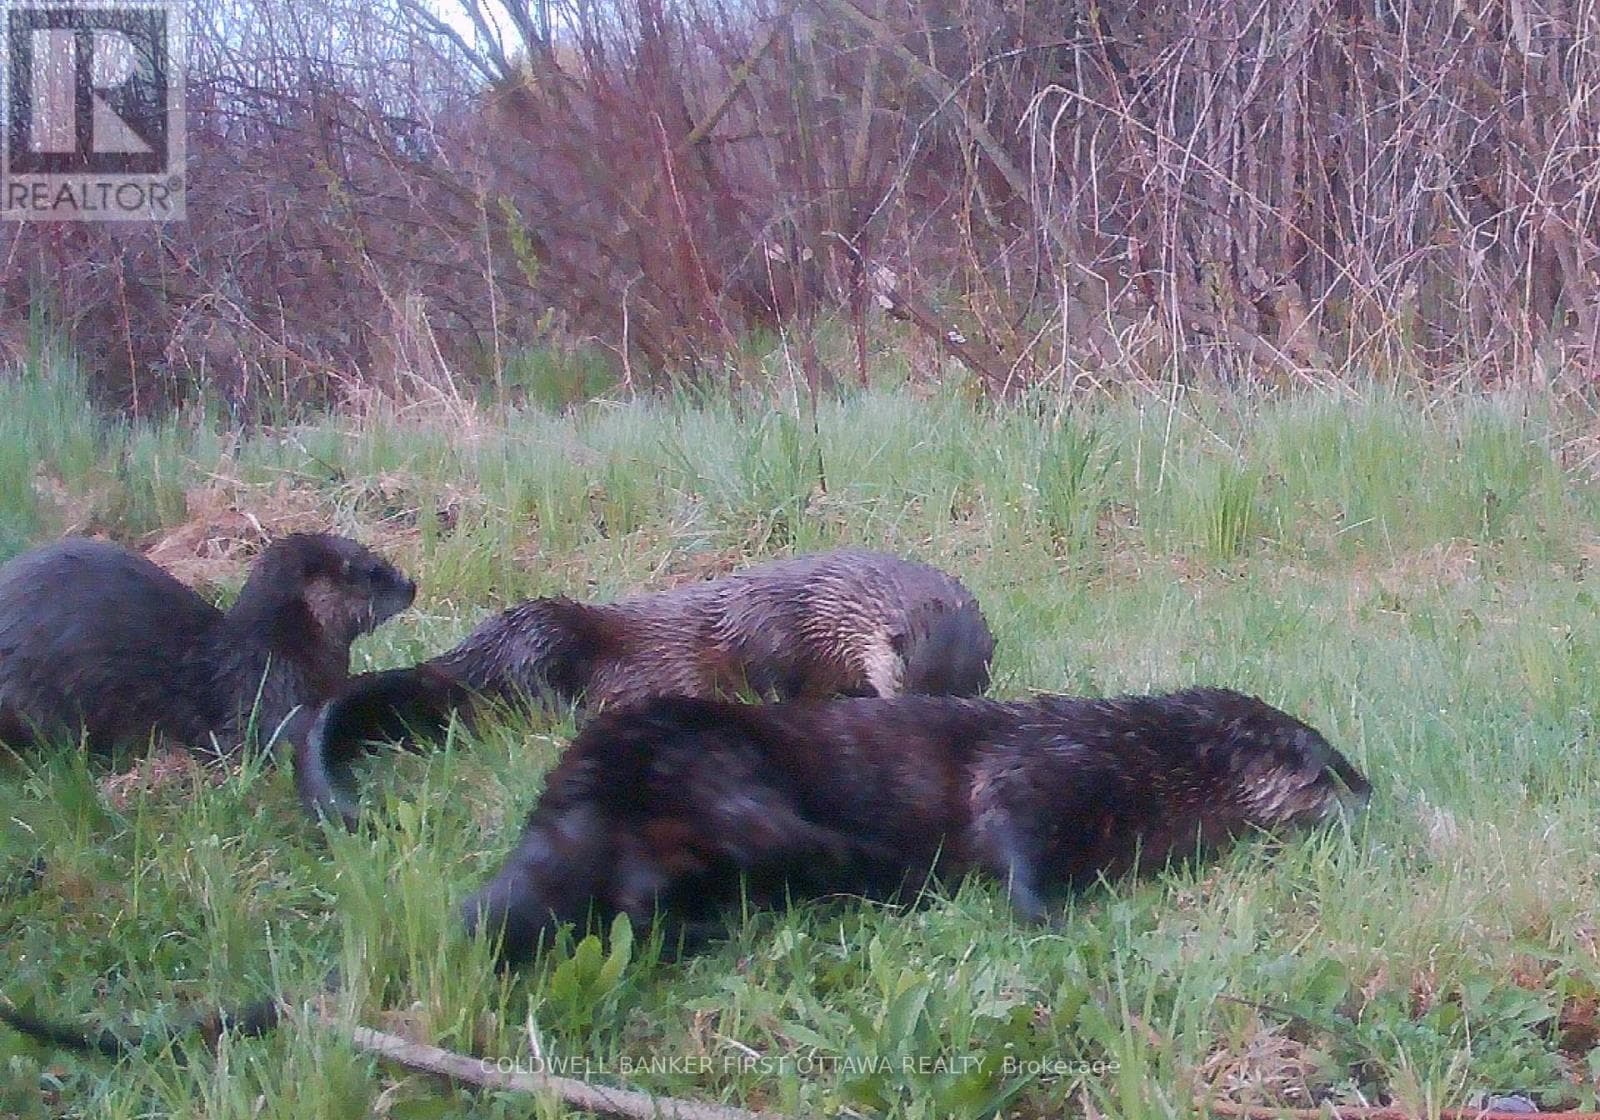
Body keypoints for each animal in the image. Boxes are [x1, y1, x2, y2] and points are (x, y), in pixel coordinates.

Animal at [296, 549, 995, 828]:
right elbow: (773, 687)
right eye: (906, 684)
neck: (817, 610)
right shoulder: (767, 635)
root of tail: (462, 656)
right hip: (543, 632)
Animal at [464, 688, 1370, 966]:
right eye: (1330, 771)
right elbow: (1009, 836)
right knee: (761, 831)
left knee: (641, 898)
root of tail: (584, 774)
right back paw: (866, 867)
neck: (1135, 760)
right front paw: (1044, 916)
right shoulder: (1040, 769)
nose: (1370, 798)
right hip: (718, 759)